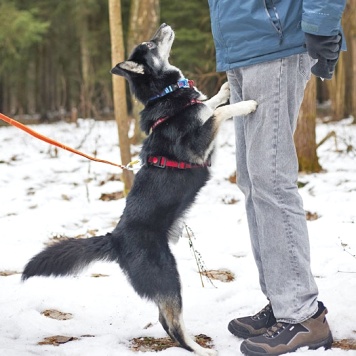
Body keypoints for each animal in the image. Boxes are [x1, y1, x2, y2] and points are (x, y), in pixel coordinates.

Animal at [23, 23, 258, 354]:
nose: (164, 25)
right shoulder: (198, 146)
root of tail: (115, 238)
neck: (165, 95)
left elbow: (206, 104)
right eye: (149, 43)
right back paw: (200, 348)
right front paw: (245, 104)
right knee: (173, 324)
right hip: (167, 275)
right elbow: (217, 114)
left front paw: (222, 91)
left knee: (164, 320)